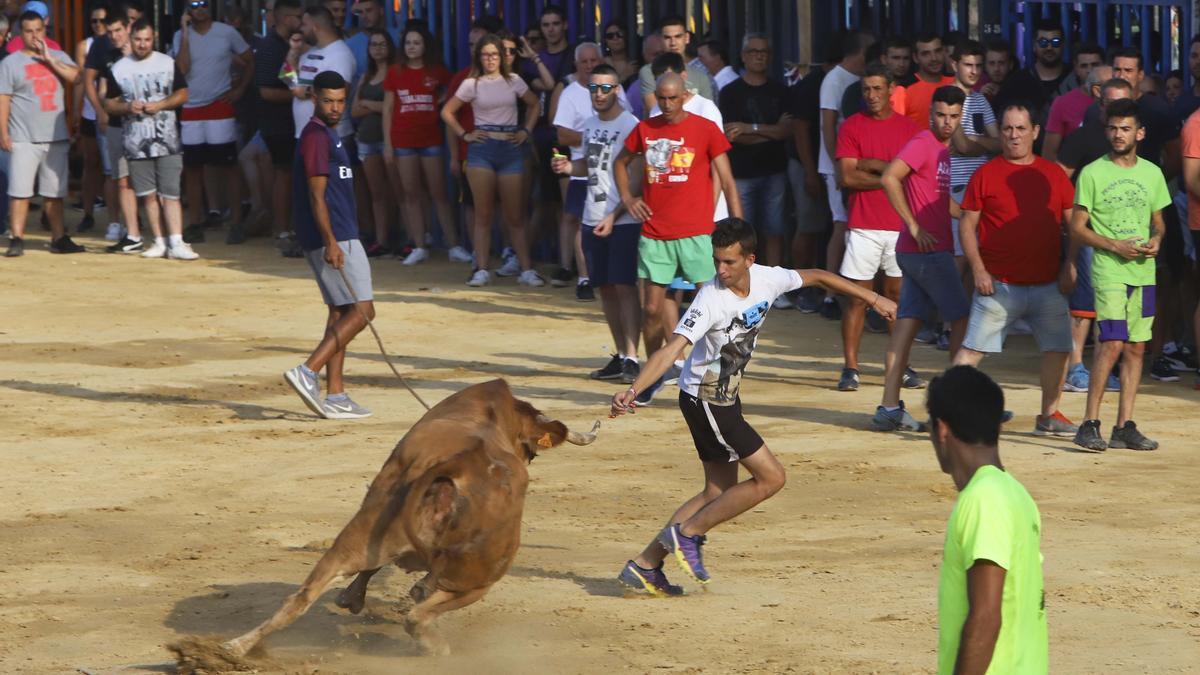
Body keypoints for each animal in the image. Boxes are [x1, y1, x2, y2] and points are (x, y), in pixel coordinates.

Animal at [208, 379, 600, 658]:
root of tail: (456, 466)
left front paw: (351, 598)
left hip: (356, 537)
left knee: (300, 599)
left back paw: (233, 648)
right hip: (482, 578)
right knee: (417, 615)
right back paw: (433, 643)